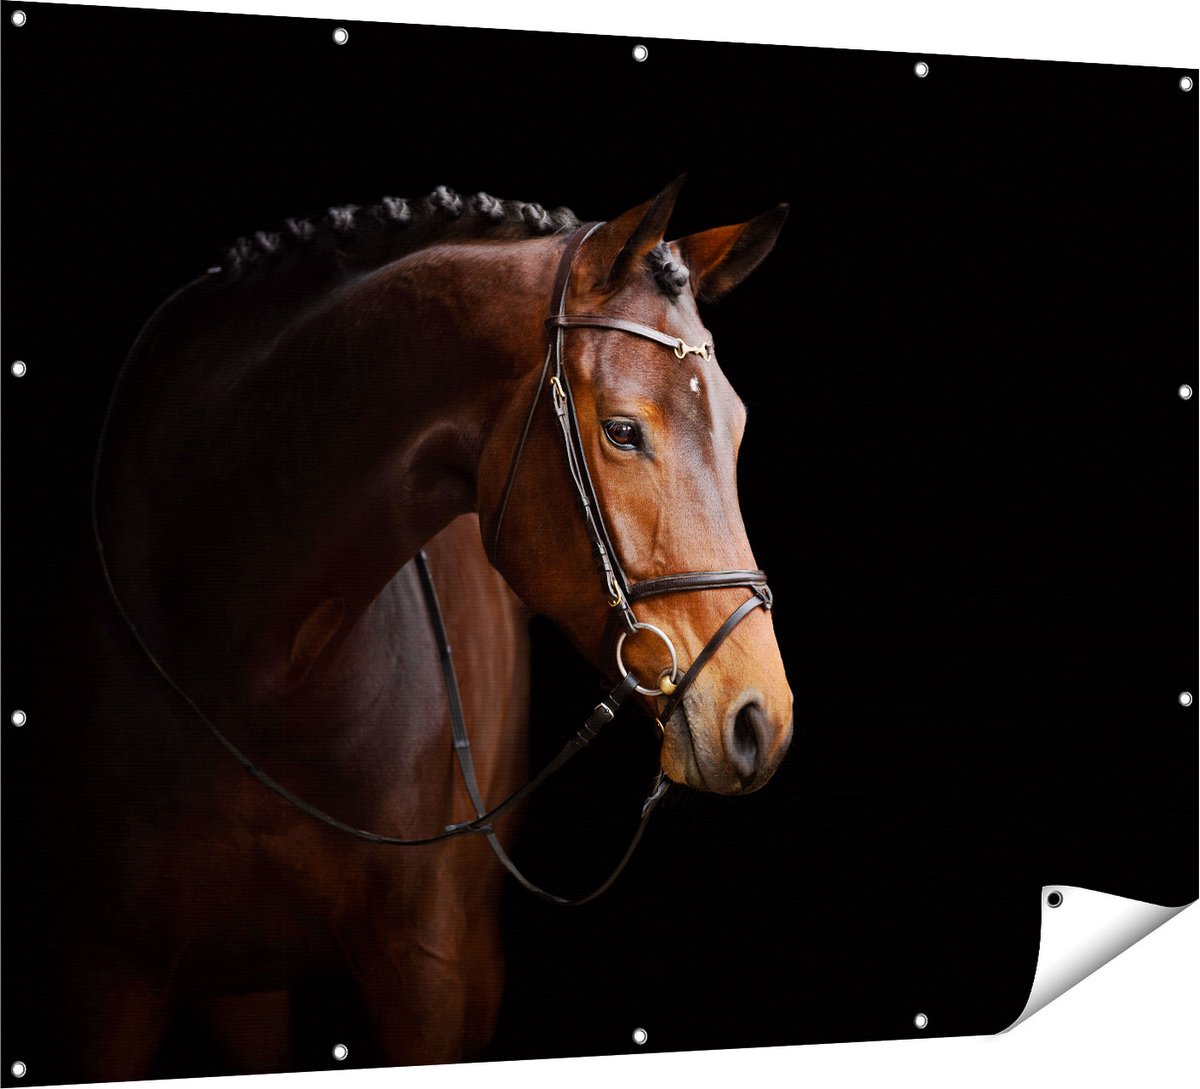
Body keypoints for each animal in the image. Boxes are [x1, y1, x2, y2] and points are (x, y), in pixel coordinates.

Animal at [52, 179, 793, 1079]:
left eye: (738, 426)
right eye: (623, 429)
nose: (759, 719)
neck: (250, 661)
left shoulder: (425, 969)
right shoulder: (106, 980)